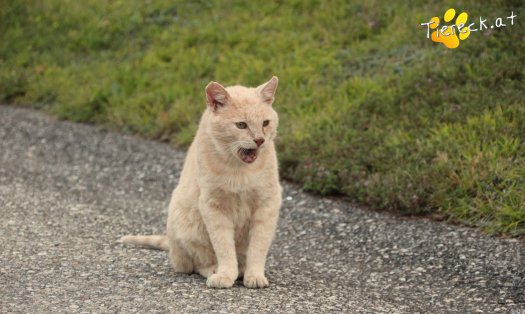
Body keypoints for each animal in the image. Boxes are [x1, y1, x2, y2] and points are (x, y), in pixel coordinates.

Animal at [120, 76, 280, 290]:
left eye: (265, 123)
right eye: (241, 125)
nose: (260, 140)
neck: (239, 170)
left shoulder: (267, 204)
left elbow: (258, 247)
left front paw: (254, 275)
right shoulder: (213, 207)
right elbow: (224, 247)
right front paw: (225, 275)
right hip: (185, 224)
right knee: (195, 264)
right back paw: (217, 270)